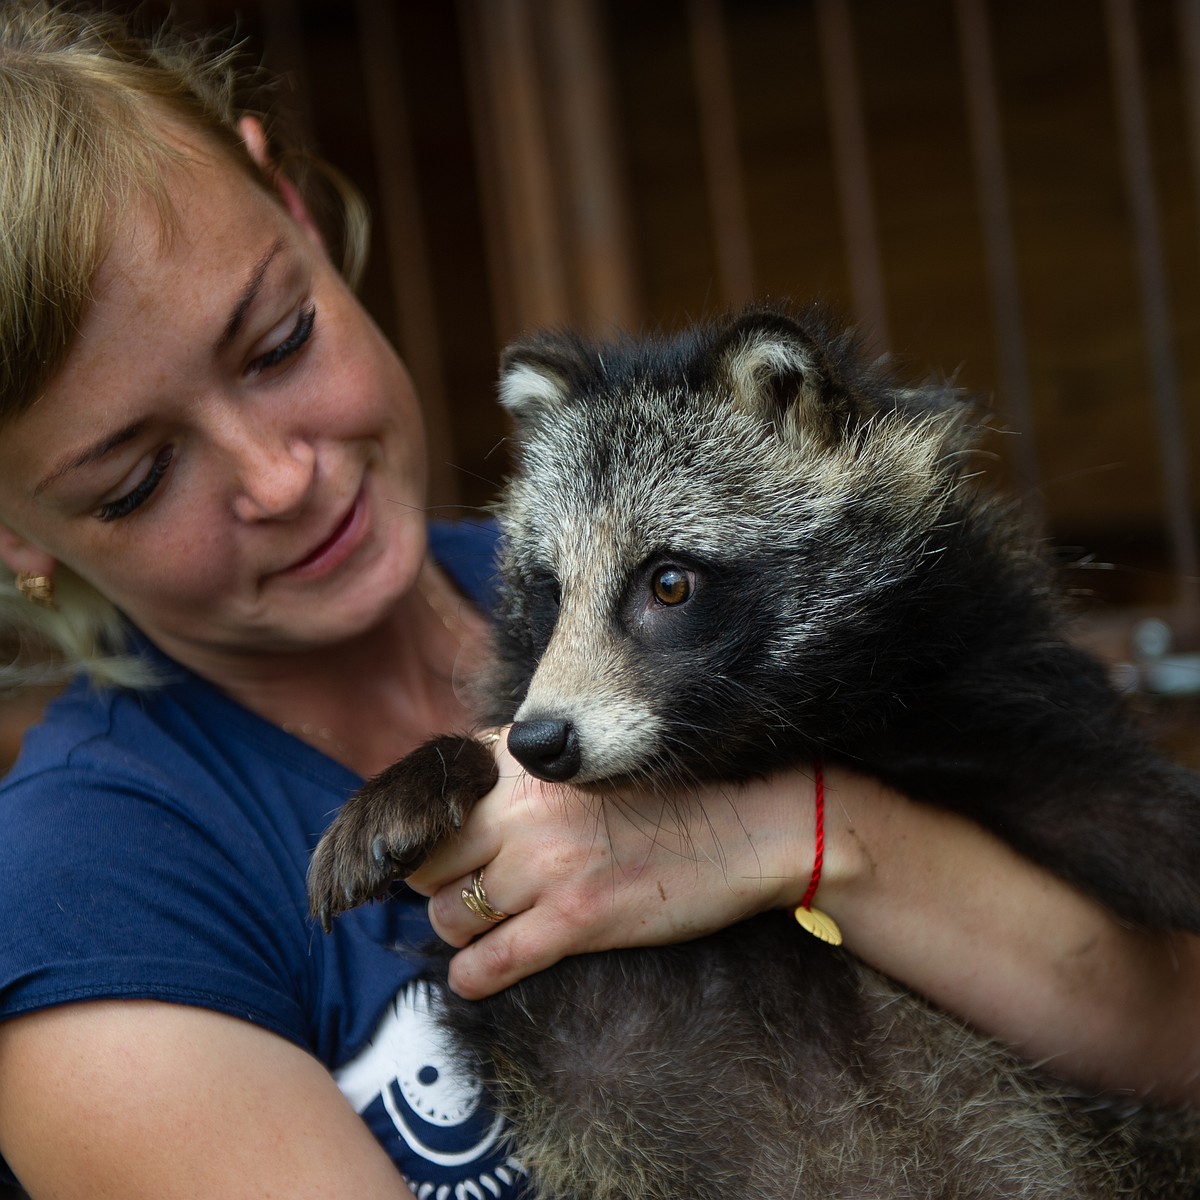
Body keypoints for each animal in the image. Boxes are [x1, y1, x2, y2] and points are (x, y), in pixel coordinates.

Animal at [304, 304, 1200, 1195]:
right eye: (550, 591)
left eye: (669, 582)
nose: (540, 743)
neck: (768, 731)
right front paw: (439, 768)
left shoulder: (1012, 697)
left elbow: (1139, 823)